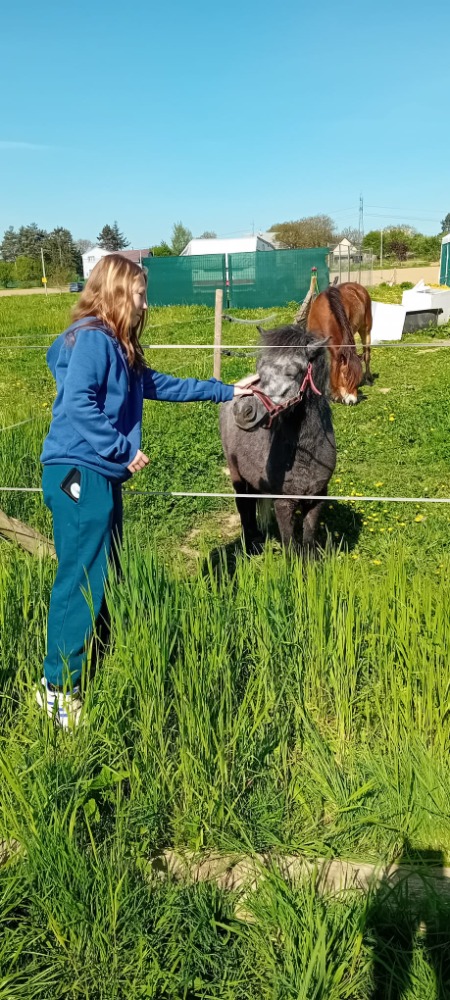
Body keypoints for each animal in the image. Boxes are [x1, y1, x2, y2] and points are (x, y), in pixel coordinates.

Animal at [219, 323, 336, 554]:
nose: (244, 411)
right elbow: (290, 546)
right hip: (236, 474)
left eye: (292, 372)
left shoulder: (317, 497)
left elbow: (308, 540)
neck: (307, 454)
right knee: (244, 506)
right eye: (260, 368)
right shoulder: (283, 502)